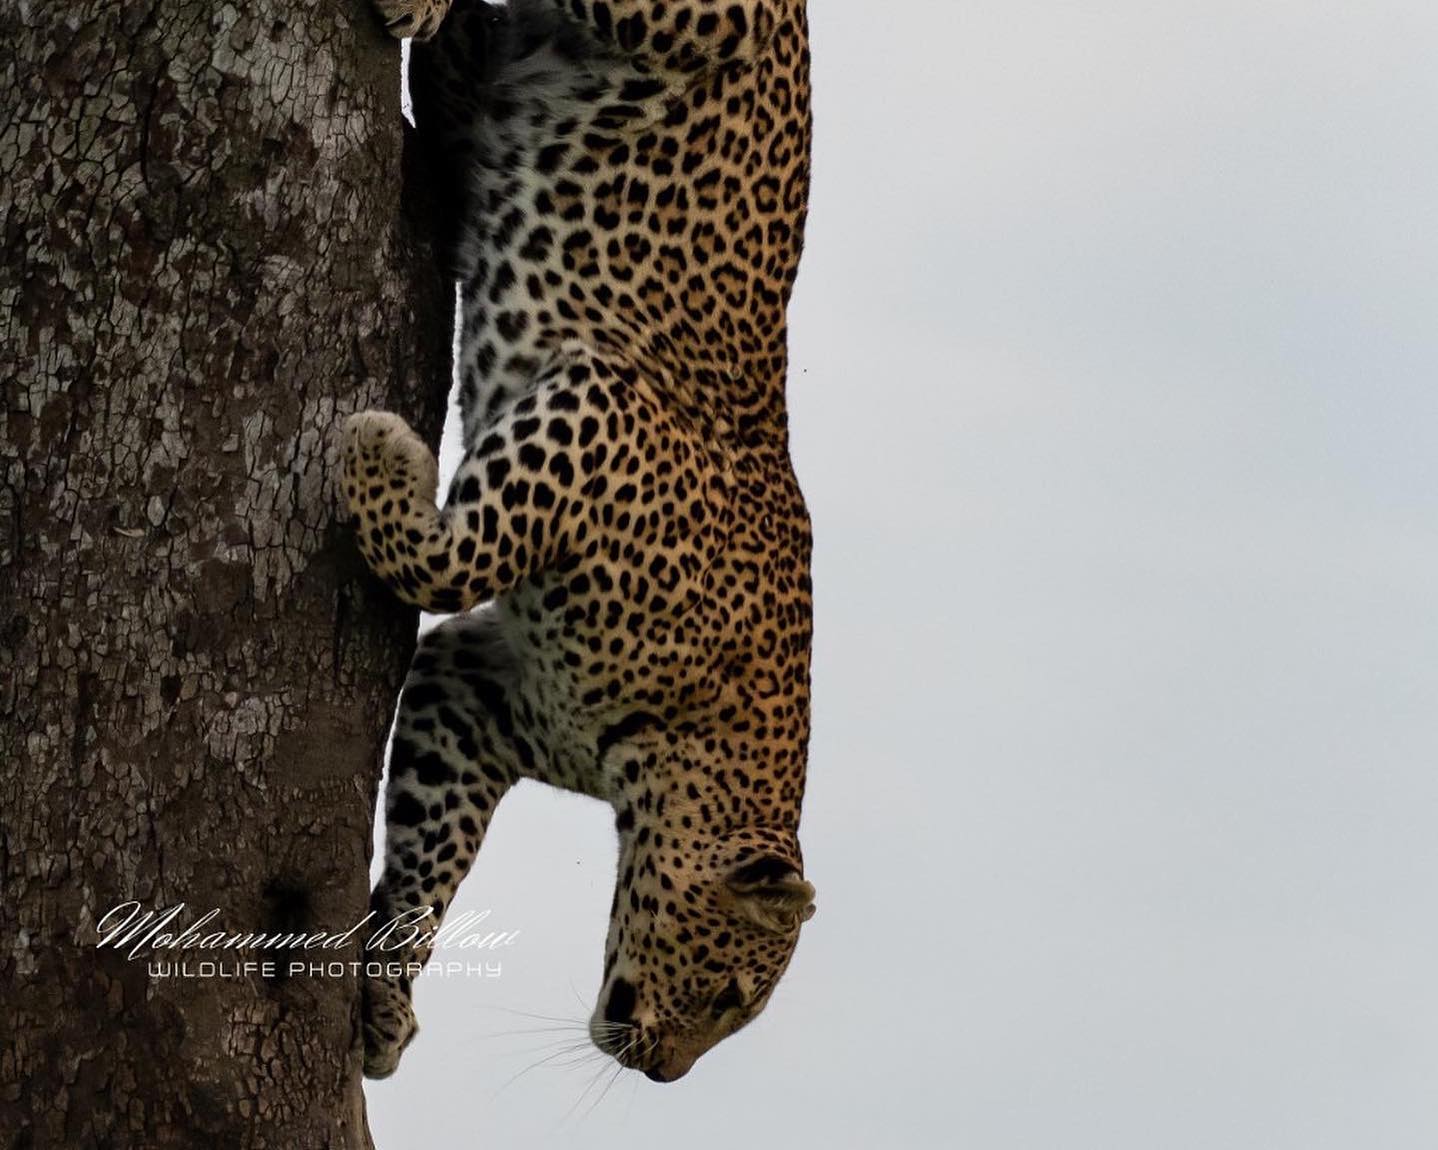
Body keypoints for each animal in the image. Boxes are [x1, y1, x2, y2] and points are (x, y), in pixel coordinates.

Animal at [343, 0, 816, 1084]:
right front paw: (379, 449)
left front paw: (385, 1004)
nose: (663, 1073)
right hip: (701, 26)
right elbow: (449, 558)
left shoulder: (474, 693)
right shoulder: (604, 402)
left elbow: (432, 859)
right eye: (729, 994)